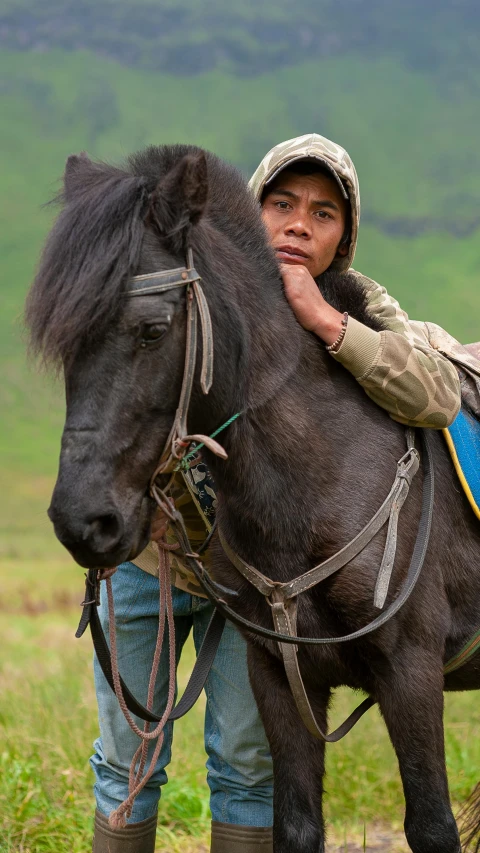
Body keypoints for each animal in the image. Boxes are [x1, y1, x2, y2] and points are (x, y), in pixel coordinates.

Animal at [25, 146, 480, 852]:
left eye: (152, 331)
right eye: (67, 340)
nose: (83, 521)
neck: (325, 473)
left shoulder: (411, 671)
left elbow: (432, 824)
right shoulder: (277, 677)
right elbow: (293, 823)